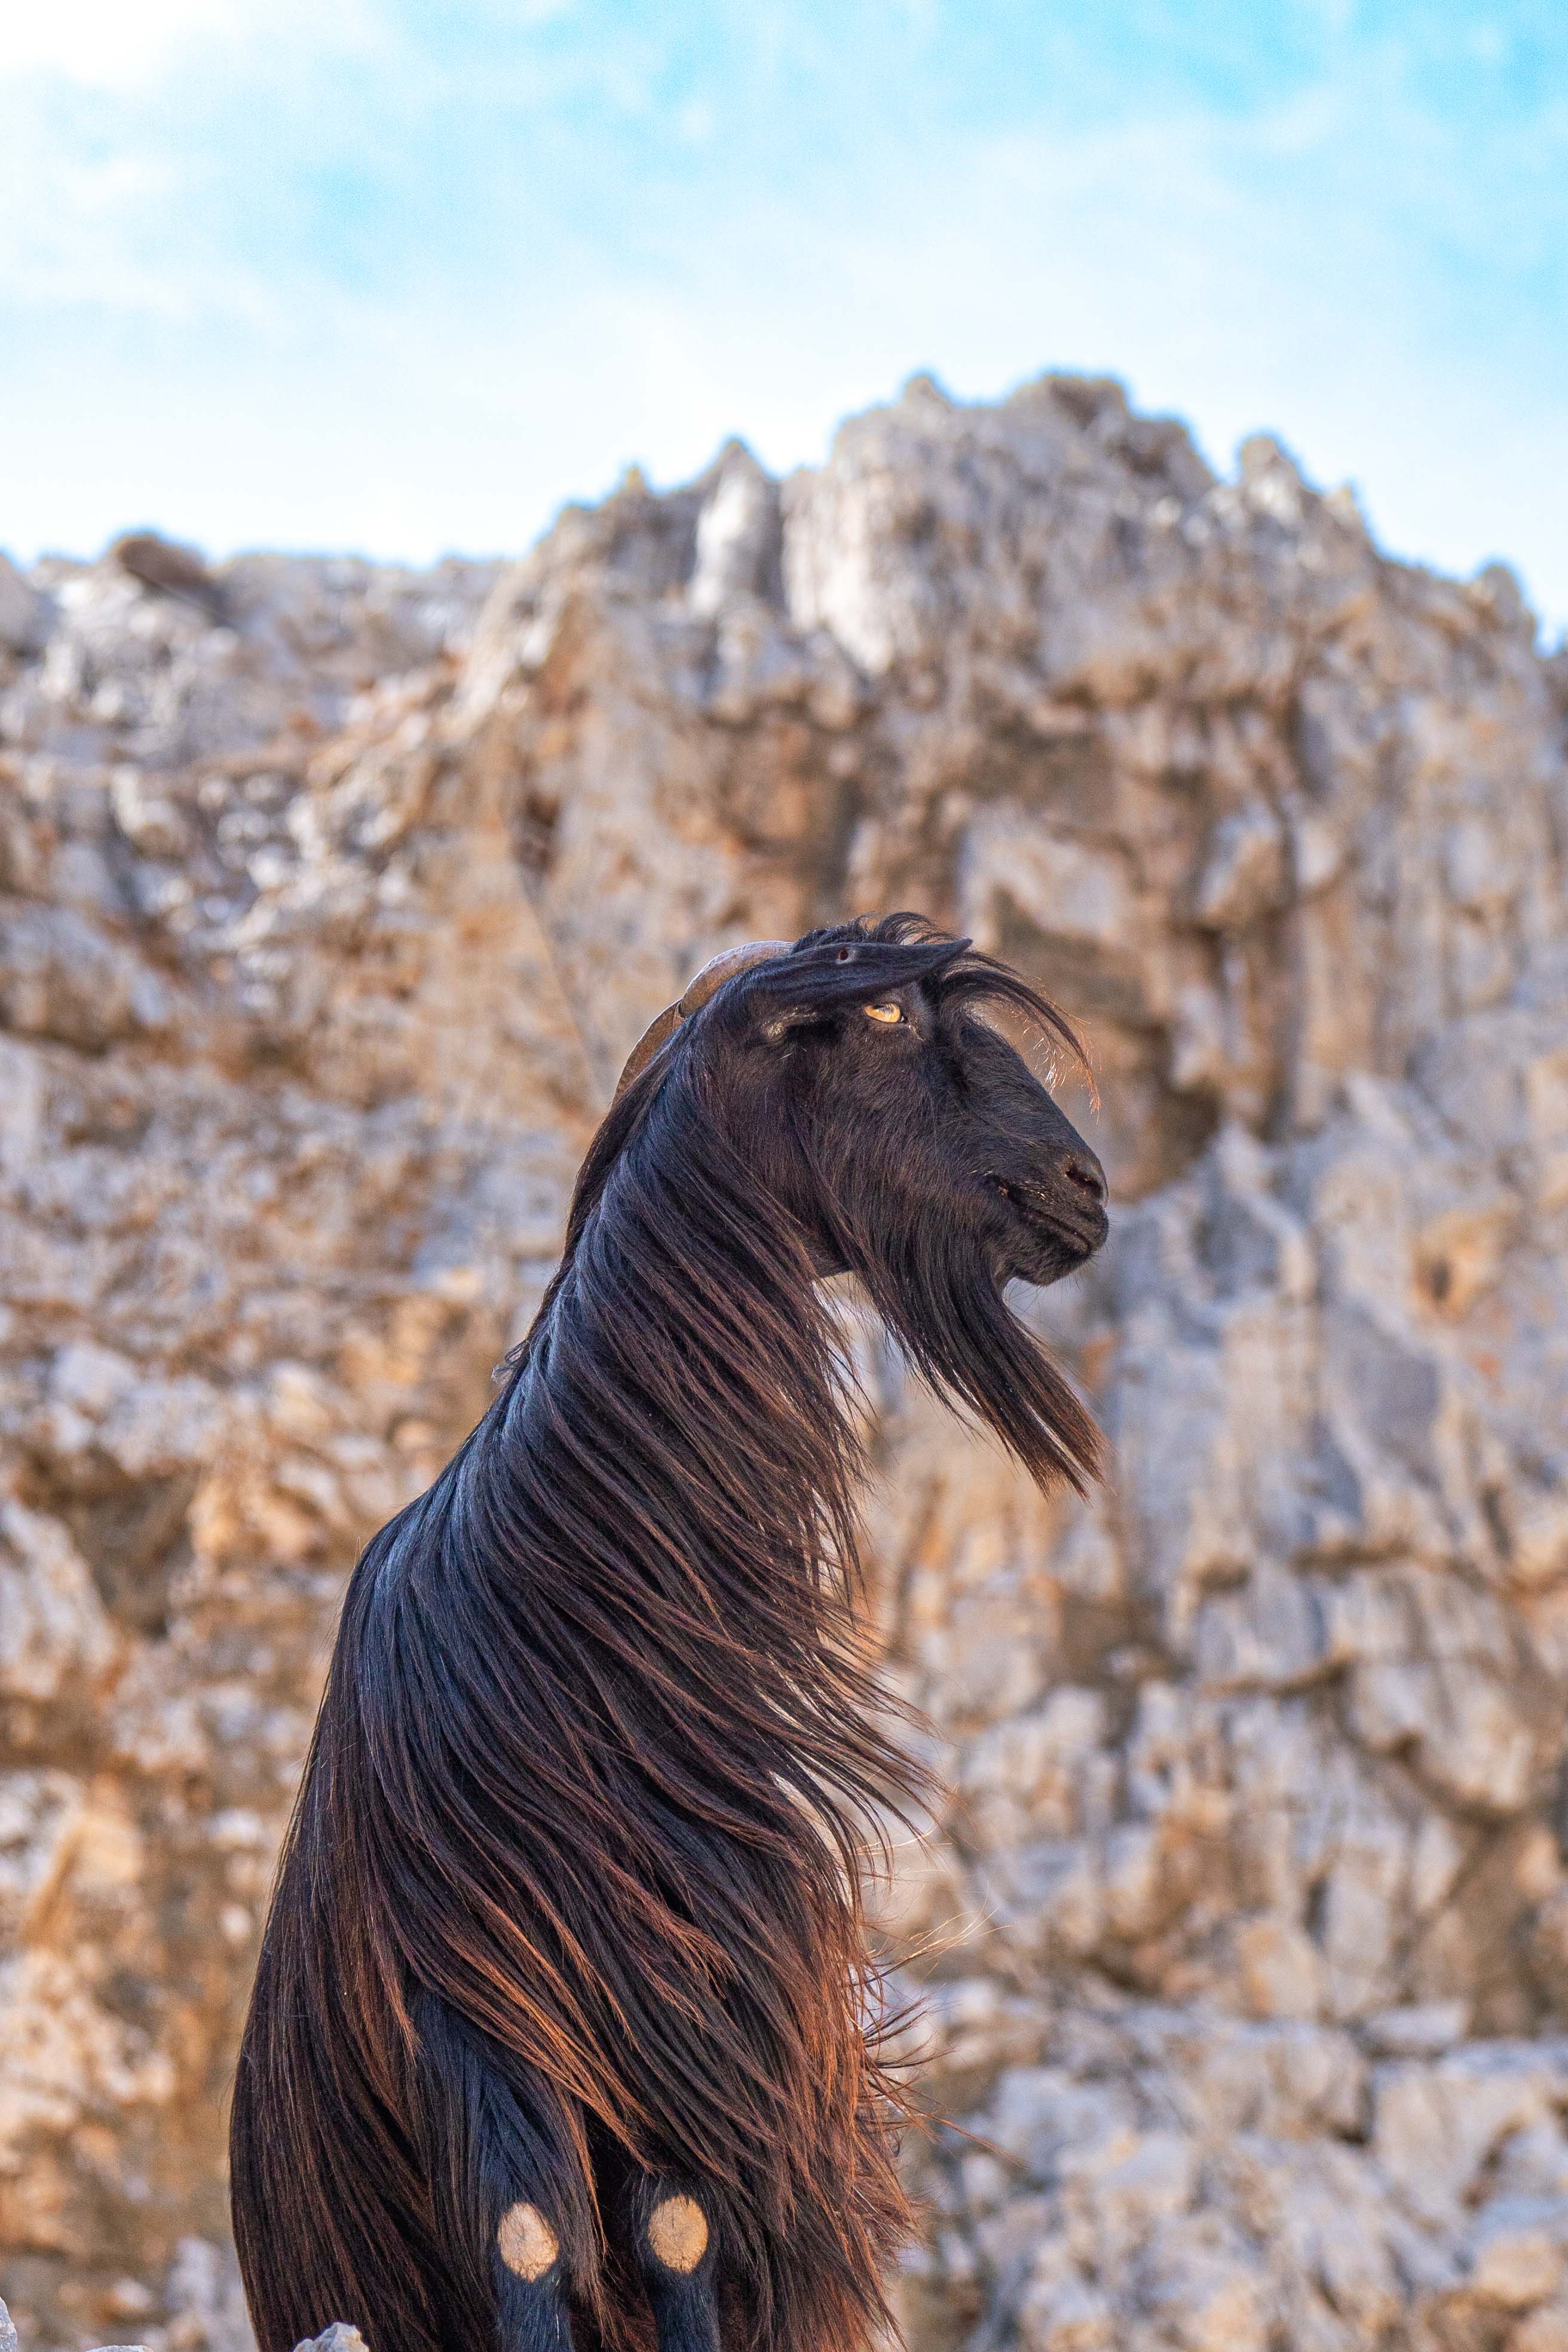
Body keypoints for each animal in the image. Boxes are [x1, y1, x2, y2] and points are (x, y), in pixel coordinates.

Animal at [230, 913, 1109, 2352]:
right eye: (881, 1021)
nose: (1080, 1186)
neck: (569, 1622)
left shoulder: (687, 2036)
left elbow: (677, 2237)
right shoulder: (477, 2010)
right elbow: (528, 2241)